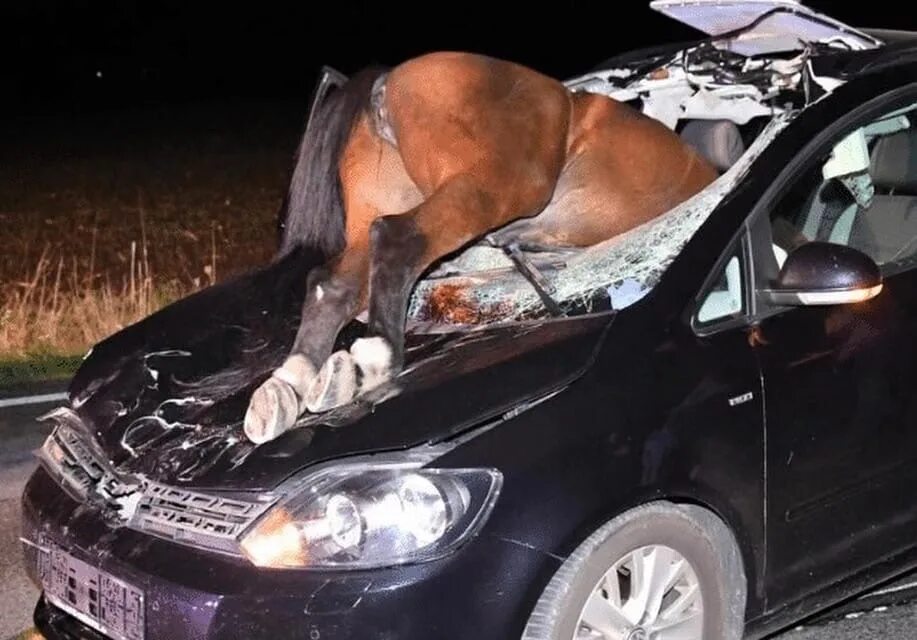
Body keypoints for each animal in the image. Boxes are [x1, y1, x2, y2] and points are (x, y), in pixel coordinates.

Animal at [242, 51, 716, 444]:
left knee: (332, 285)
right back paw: (379, 357)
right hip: (503, 186)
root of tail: (389, 80)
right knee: (396, 237)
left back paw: (291, 386)